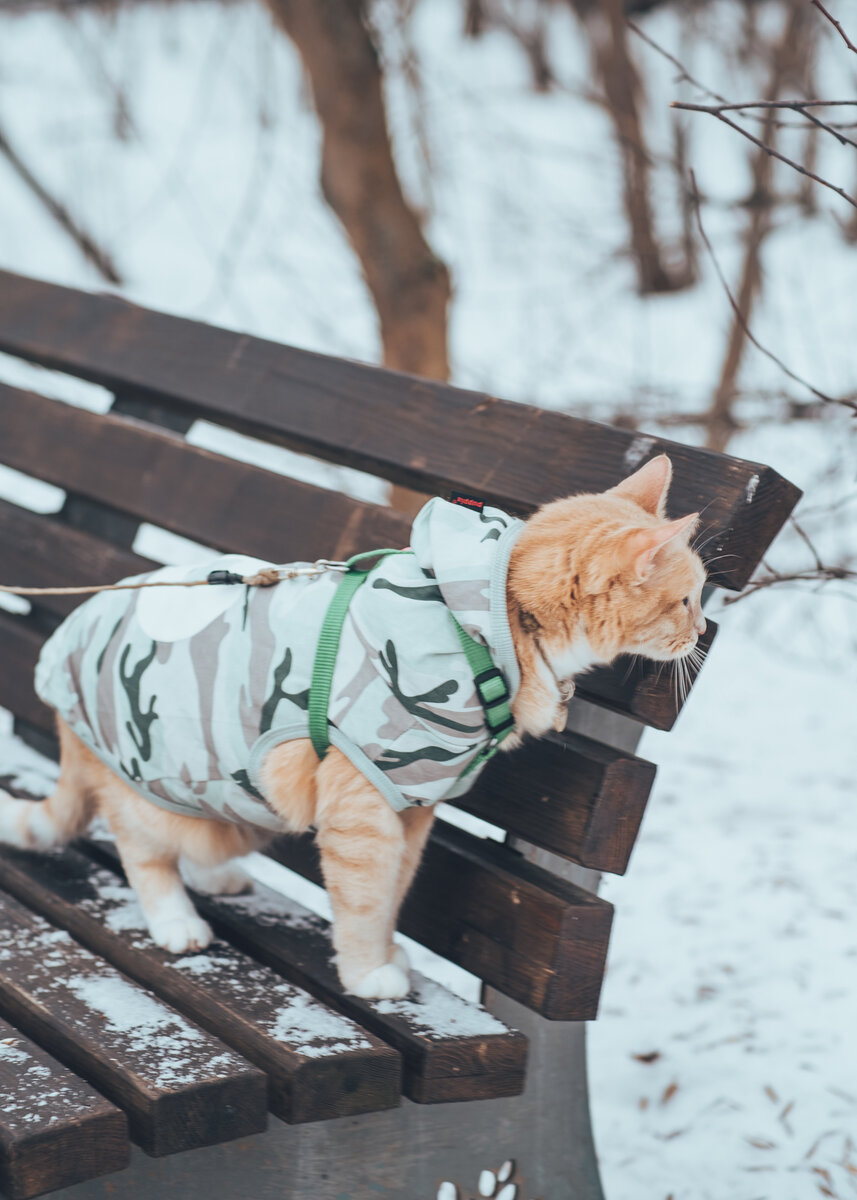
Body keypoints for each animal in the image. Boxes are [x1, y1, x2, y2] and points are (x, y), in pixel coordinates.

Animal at [0, 453, 700, 998]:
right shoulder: (363, 808)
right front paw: (368, 975)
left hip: (236, 805)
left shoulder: (415, 806)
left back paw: (214, 876)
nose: (701, 634)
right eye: (690, 599)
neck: (487, 619)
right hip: (150, 787)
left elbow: (394, 893)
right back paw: (176, 920)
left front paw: (385, 955)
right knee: (141, 848)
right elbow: (364, 898)